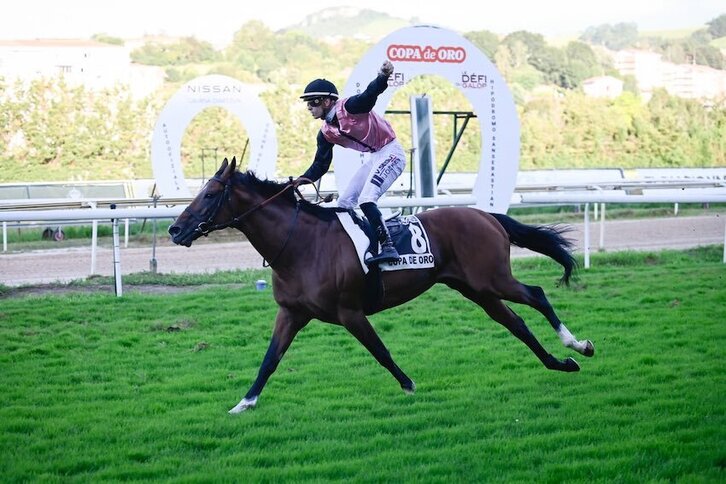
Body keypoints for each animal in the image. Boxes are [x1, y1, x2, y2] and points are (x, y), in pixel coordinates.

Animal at [171, 157, 596, 414]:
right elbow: (270, 359)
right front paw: (244, 402)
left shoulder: (350, 312)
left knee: (537, 296)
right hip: (478, 290)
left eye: (210, 193)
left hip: (492, 278)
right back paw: (561, 363)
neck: (301, 244)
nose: (175, 229)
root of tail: (486, 215)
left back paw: (578, 345)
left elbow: (379, 350)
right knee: (517, 324)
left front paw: (409, 385)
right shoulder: (291, 313)